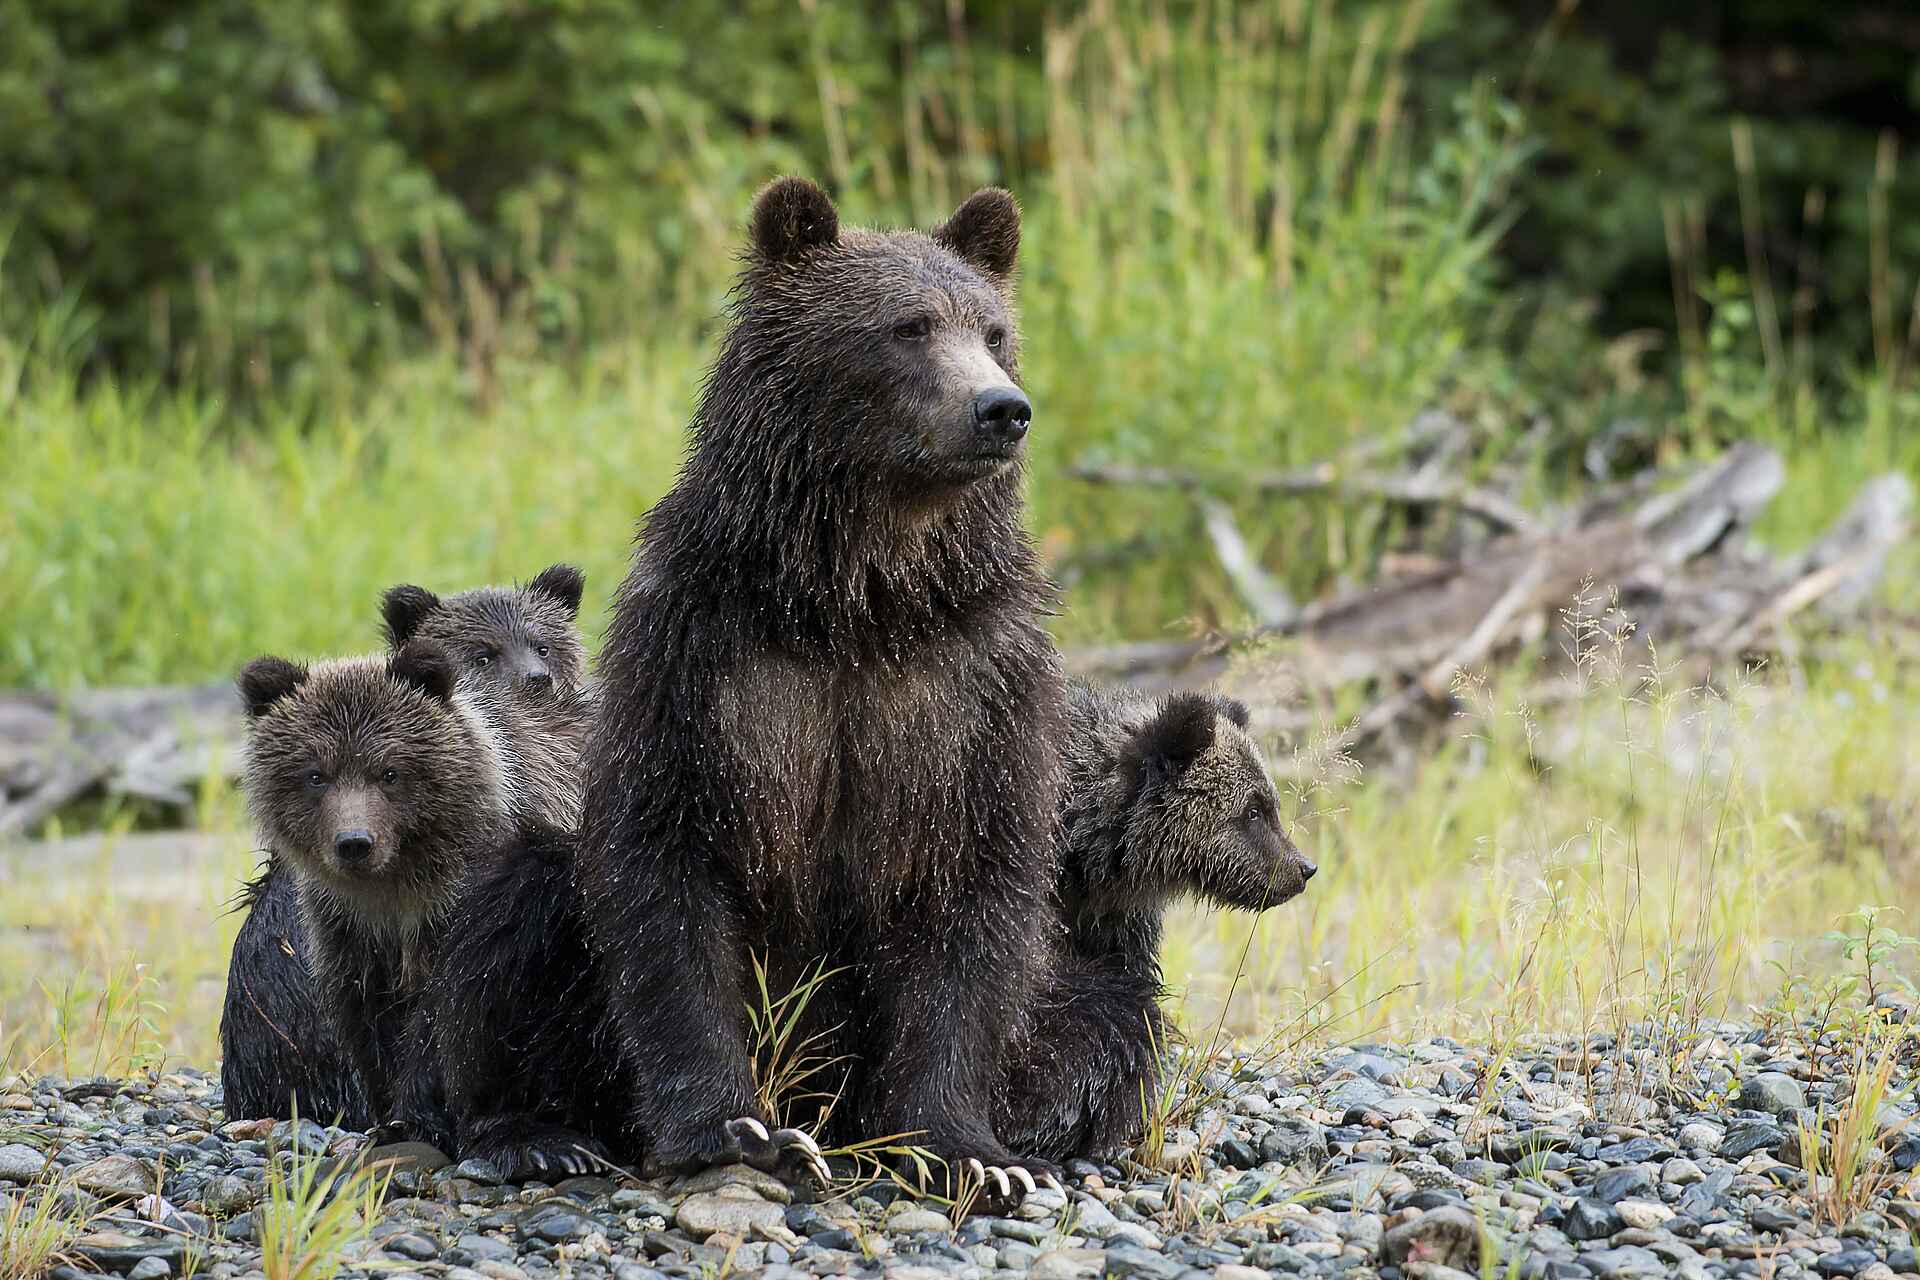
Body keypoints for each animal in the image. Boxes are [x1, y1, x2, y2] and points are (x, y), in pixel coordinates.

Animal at [573, 176, 1065, 1201]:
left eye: (994, 329)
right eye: (907, 326)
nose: (1002, 409)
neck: (855, 599)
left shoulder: (977, 684)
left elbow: (978, 888)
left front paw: (974, 1152)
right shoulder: (698, 661)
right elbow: (663, 868)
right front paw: (744, 1128)